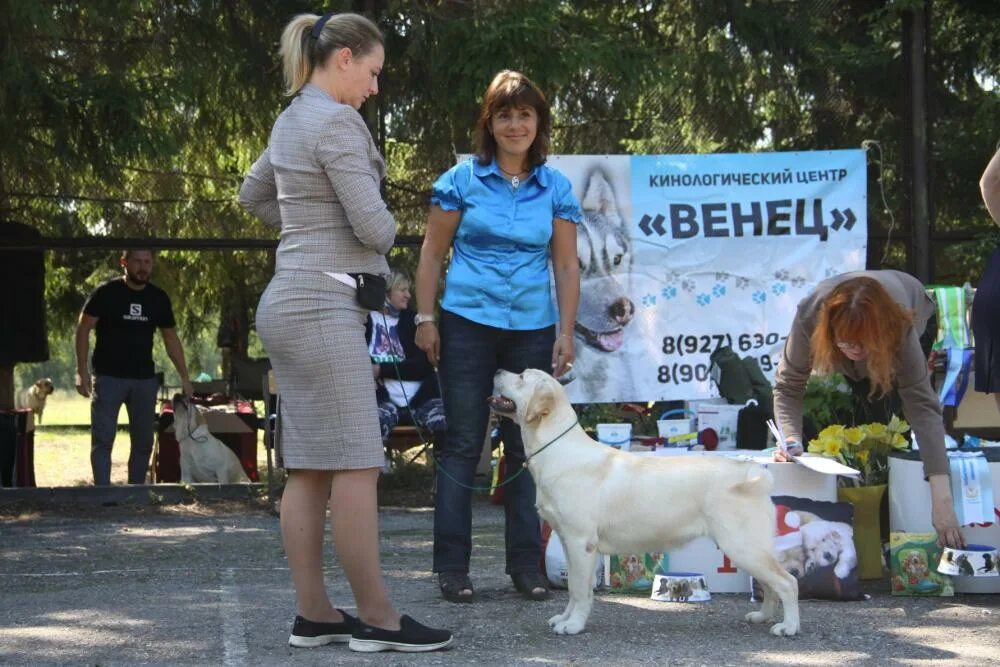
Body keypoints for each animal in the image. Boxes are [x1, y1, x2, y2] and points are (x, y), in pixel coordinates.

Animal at [488, 370, 800, 636]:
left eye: (522, 377)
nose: (498, 371)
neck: (556, 449)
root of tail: (754, 474)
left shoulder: (580, 542)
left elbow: (578, 589)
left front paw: (574, 625)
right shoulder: (567, 540)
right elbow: (576, 589)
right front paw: (565, 619)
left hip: (743, 546)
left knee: (787, 582)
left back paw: (788, 627)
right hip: (746, 549)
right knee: (770, 585)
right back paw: (763, 616)